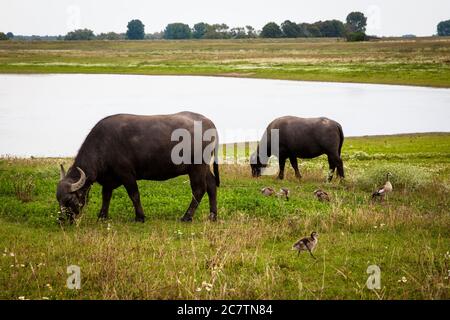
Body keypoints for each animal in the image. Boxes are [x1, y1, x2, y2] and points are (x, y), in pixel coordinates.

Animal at [55, 111, 221, 224]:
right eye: (58, 199)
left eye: (69, 199)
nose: (61, 220)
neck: (103, 145)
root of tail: (209, 123)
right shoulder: (109, 179)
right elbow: (106, 196)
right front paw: (102, 216)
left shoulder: (127, 174)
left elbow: (134, 195)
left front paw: (140, 217)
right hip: (203, 167)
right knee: (212, 185)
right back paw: (213, 215)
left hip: (197, 167)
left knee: (199, 189)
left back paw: (187, 216)